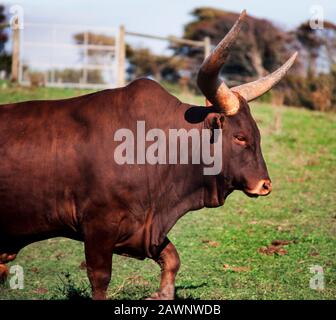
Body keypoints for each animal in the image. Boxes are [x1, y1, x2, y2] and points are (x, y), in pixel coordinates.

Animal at [0, 10, 296, 300]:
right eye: (240, 137)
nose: (265, 185)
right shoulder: (98, 226)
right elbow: (100, 277)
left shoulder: (147, 230)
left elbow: (172, 259)